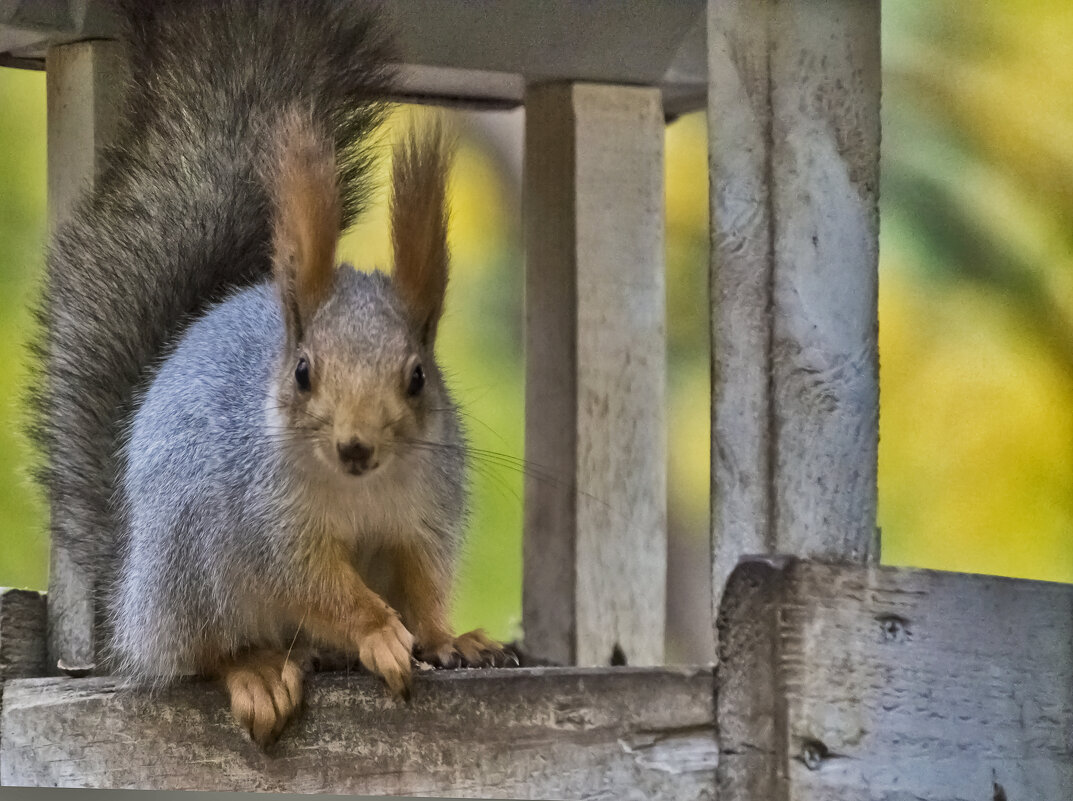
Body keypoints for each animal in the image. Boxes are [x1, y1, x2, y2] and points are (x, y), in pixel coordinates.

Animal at [35, 0, 512, 746]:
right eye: (304, 372)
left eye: (417, 377)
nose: (355, 447)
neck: (357, 490)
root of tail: (129, 593)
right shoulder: (266, 521)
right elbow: (316, 586)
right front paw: (379, 632)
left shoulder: (424, 513)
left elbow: (425, 581)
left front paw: (447, 638)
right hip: (186, 575)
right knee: (205, 654)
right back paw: (257, 668)